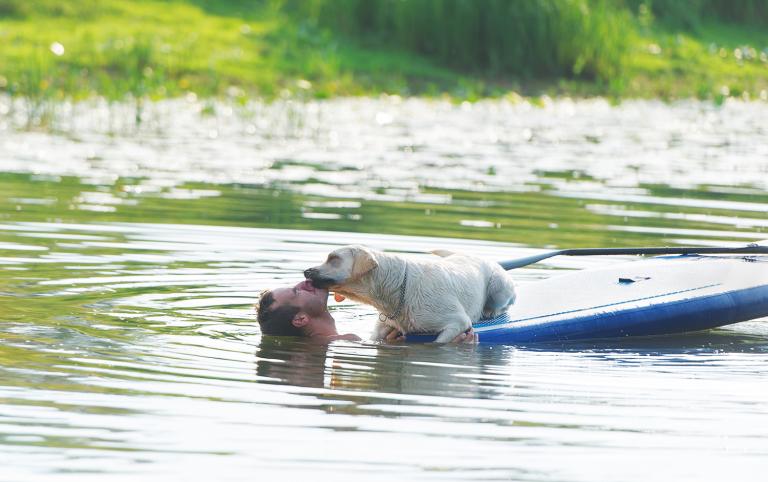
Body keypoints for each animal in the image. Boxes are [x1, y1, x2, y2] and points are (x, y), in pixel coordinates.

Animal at [302, 245, 516, 342]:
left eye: (333, 258)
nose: (306, 271)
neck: (399, 288)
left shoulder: (458, 322)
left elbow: (439, 342)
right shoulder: (381, 329)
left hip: (499, 286)